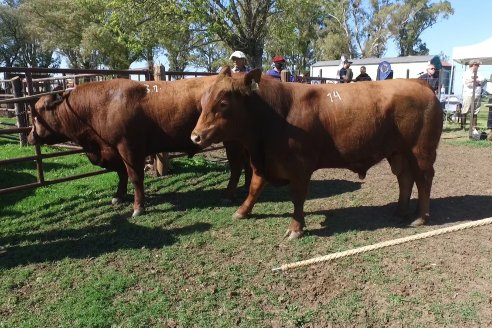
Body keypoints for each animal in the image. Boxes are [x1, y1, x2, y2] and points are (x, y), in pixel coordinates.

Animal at [26, 76, 250, 215]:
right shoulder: (114, 150)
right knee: (247, 164)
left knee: (236, 166)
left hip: (233, 141)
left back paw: (229, 194)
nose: (29, 137)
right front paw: (118, 196)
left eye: (37, 114)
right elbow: (121, 174)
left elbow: (135, 177)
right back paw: (246, 187)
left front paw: (138, 207)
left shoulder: (129, 148)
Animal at [190, 68, 444, 240]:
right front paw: (242, 211)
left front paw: (295, 228)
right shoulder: (263, 162)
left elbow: (297, 197)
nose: (195, 136)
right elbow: (254, 187)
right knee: (405, 178)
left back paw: (420, 217)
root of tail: (420, 83)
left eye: (223, 102)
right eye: (203, 100)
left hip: (421, 152)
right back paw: (400, 212)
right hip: (398, 152)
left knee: (423, 180)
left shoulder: (300, 166)